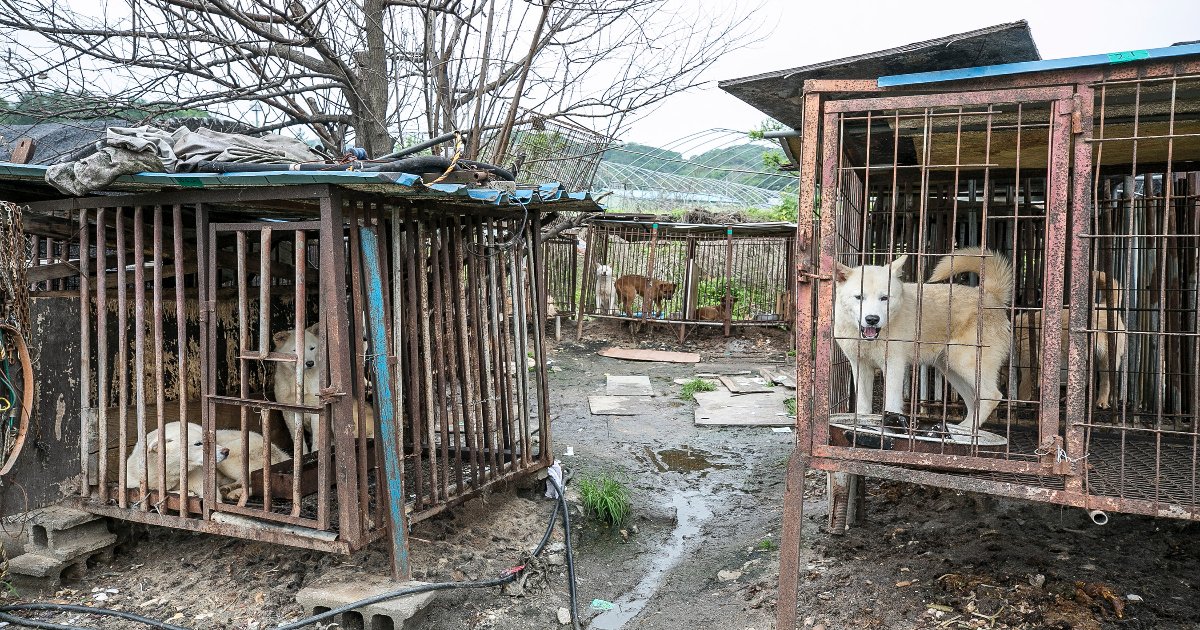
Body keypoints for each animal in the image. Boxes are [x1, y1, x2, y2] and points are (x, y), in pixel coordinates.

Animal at [126, 422, 288, 501]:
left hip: (230, 461)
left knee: (255, 482)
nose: (226, 451)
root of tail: (282, 453)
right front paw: (186, 493)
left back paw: (234, 491)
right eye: (198, 443)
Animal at [835, 248, 1012, 429]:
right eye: (859, 297)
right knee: (974, 400)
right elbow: (863, 407)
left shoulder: (894, 366)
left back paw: (967, 428)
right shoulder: (860, 366)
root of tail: (991, 296)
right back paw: (962, 427)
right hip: (951, 369)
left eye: (884, 298)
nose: (872, 319)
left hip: (964, 363)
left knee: (993, 396)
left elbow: (891, 404)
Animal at [1012, 270, 1123, 408]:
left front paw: (1018, 401)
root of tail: (1106, 307)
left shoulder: (1032, 367)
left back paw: (1102, 401)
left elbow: (1023, 389)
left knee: (1106, 381)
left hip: (1106, 360)